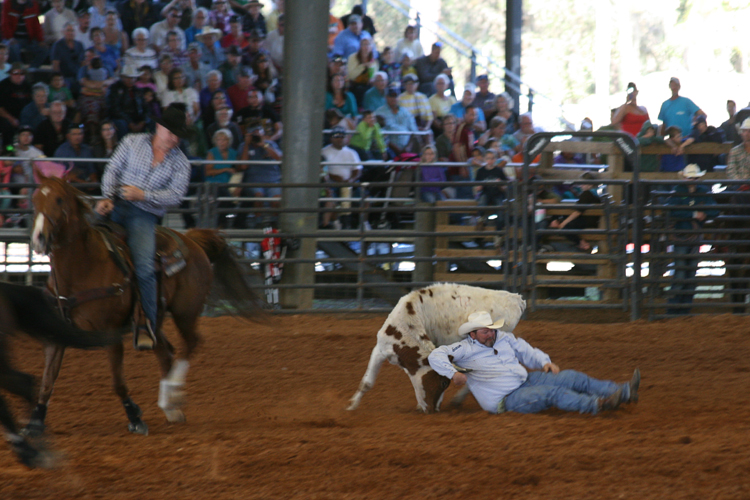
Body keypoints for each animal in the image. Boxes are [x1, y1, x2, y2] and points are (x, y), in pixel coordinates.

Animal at [29, 175, 268, 438]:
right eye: (34, 199)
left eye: (59, 199)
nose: (39, 238)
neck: (83, 266)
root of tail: (192, 240)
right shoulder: (56, 333)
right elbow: (47, 381)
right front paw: (35, 422)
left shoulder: (111, 332)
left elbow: (118, 383)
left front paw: (135, 417)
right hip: (153, 319)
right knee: (165, 352)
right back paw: (171, 407)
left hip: (186, 312)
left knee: (189, 344)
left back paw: (173, 393)